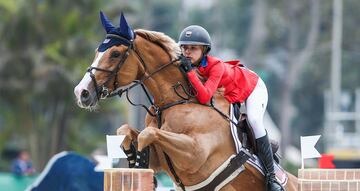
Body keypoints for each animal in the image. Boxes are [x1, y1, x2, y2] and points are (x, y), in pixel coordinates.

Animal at [74, 12, 298, 191]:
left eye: (115, 53)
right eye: (97, 52)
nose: (81, 92)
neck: (174, 102)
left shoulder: (194, 153)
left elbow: (149, 133)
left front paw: (138, 163)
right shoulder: (161, 159)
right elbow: (125, 130)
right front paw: (134, 161)